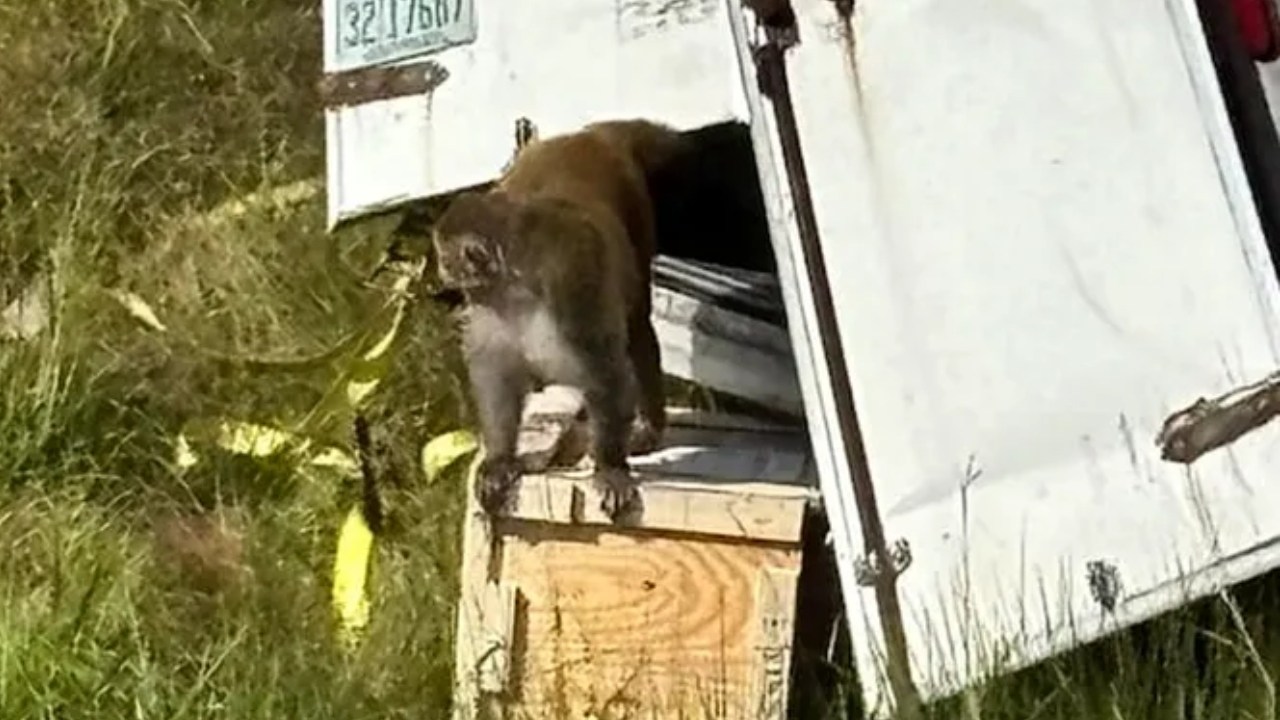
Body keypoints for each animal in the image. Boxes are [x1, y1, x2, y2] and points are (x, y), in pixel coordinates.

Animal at [433, 119, 688, 522]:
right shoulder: (490, 310)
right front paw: (500, 459)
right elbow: (497, 376)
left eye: (445, 259)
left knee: (636, 327)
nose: (441, 273)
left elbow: (604, 370)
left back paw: (649, 425)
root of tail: (586, 135)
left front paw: (610, 468)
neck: (516, 285)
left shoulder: (571, 284)